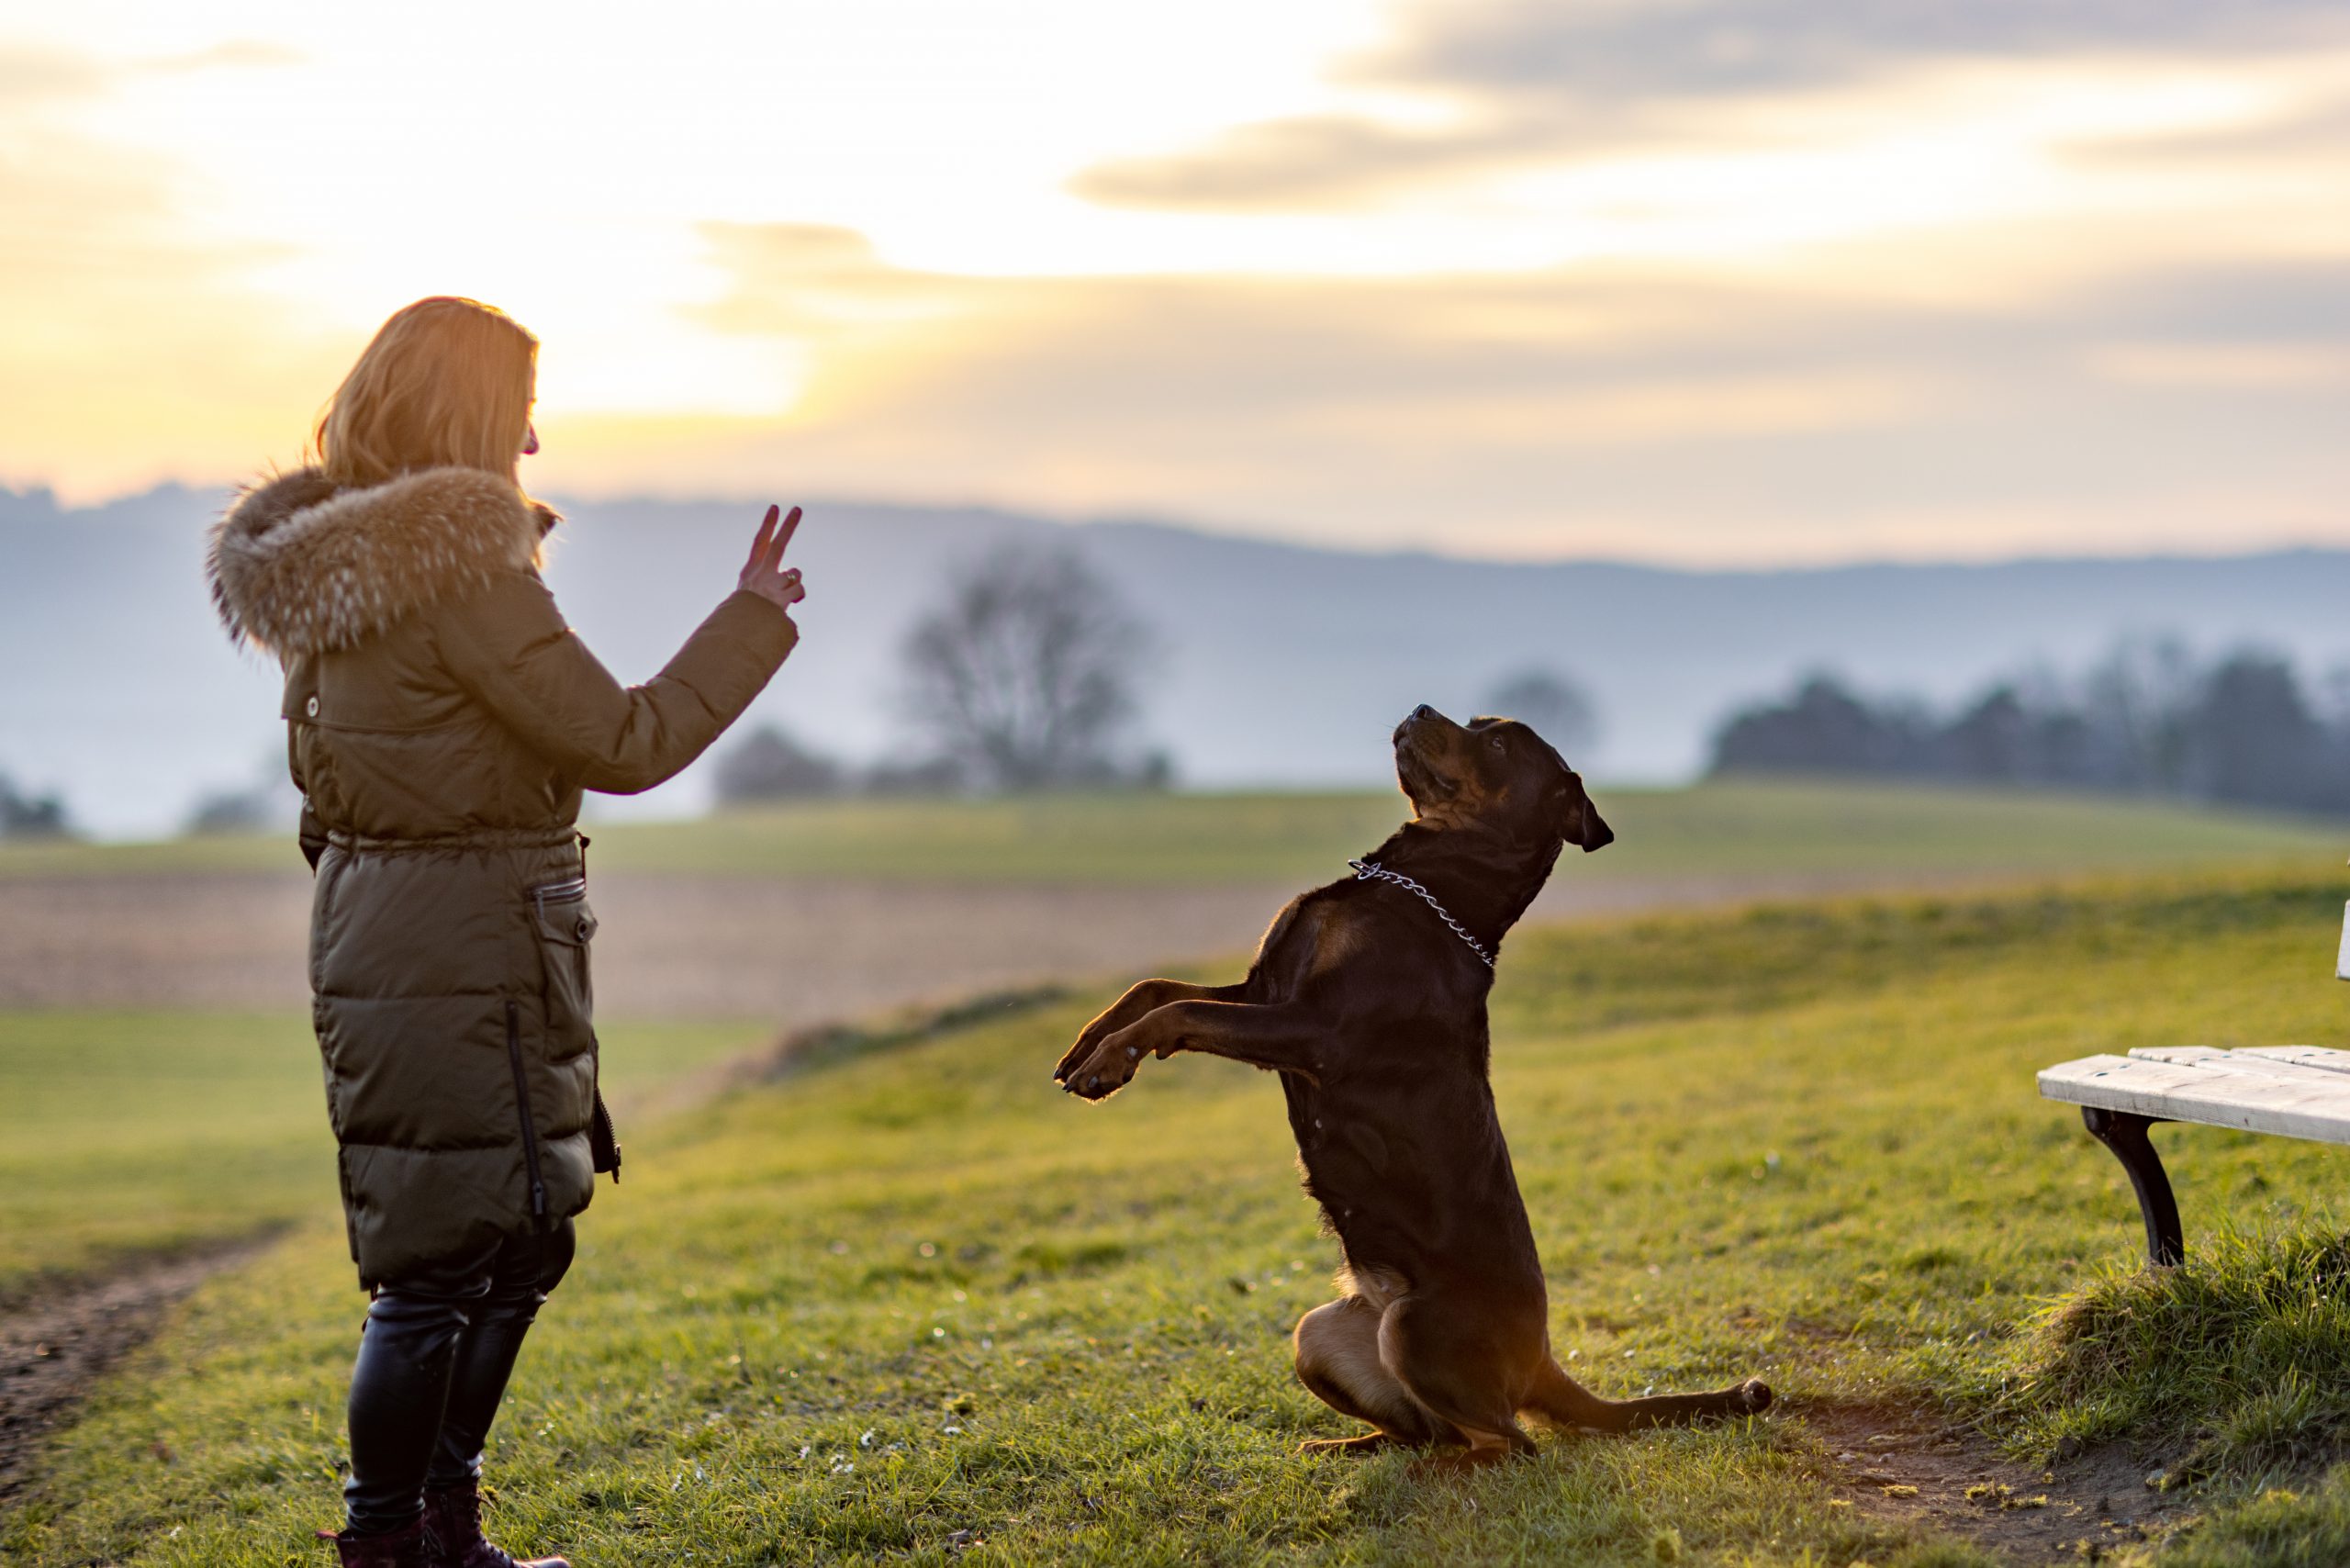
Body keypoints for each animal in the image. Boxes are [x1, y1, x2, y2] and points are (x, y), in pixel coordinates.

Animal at [1058, 705, 1767, 1466]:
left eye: (1497, 742)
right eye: (1477, 719)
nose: (1421, 710)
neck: (1423, 886)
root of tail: (1543, 1362)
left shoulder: (1315, 1030)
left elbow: (1182, 1011)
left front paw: (1110, 1063)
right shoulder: (1265, 990)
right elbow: (1156, 988)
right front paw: (1088, 1047)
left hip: (1412, 1327)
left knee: (1509, 1442)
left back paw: (1446, 1465)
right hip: (1319, 1332)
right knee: (1425, 1430)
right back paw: (1347, 1447)